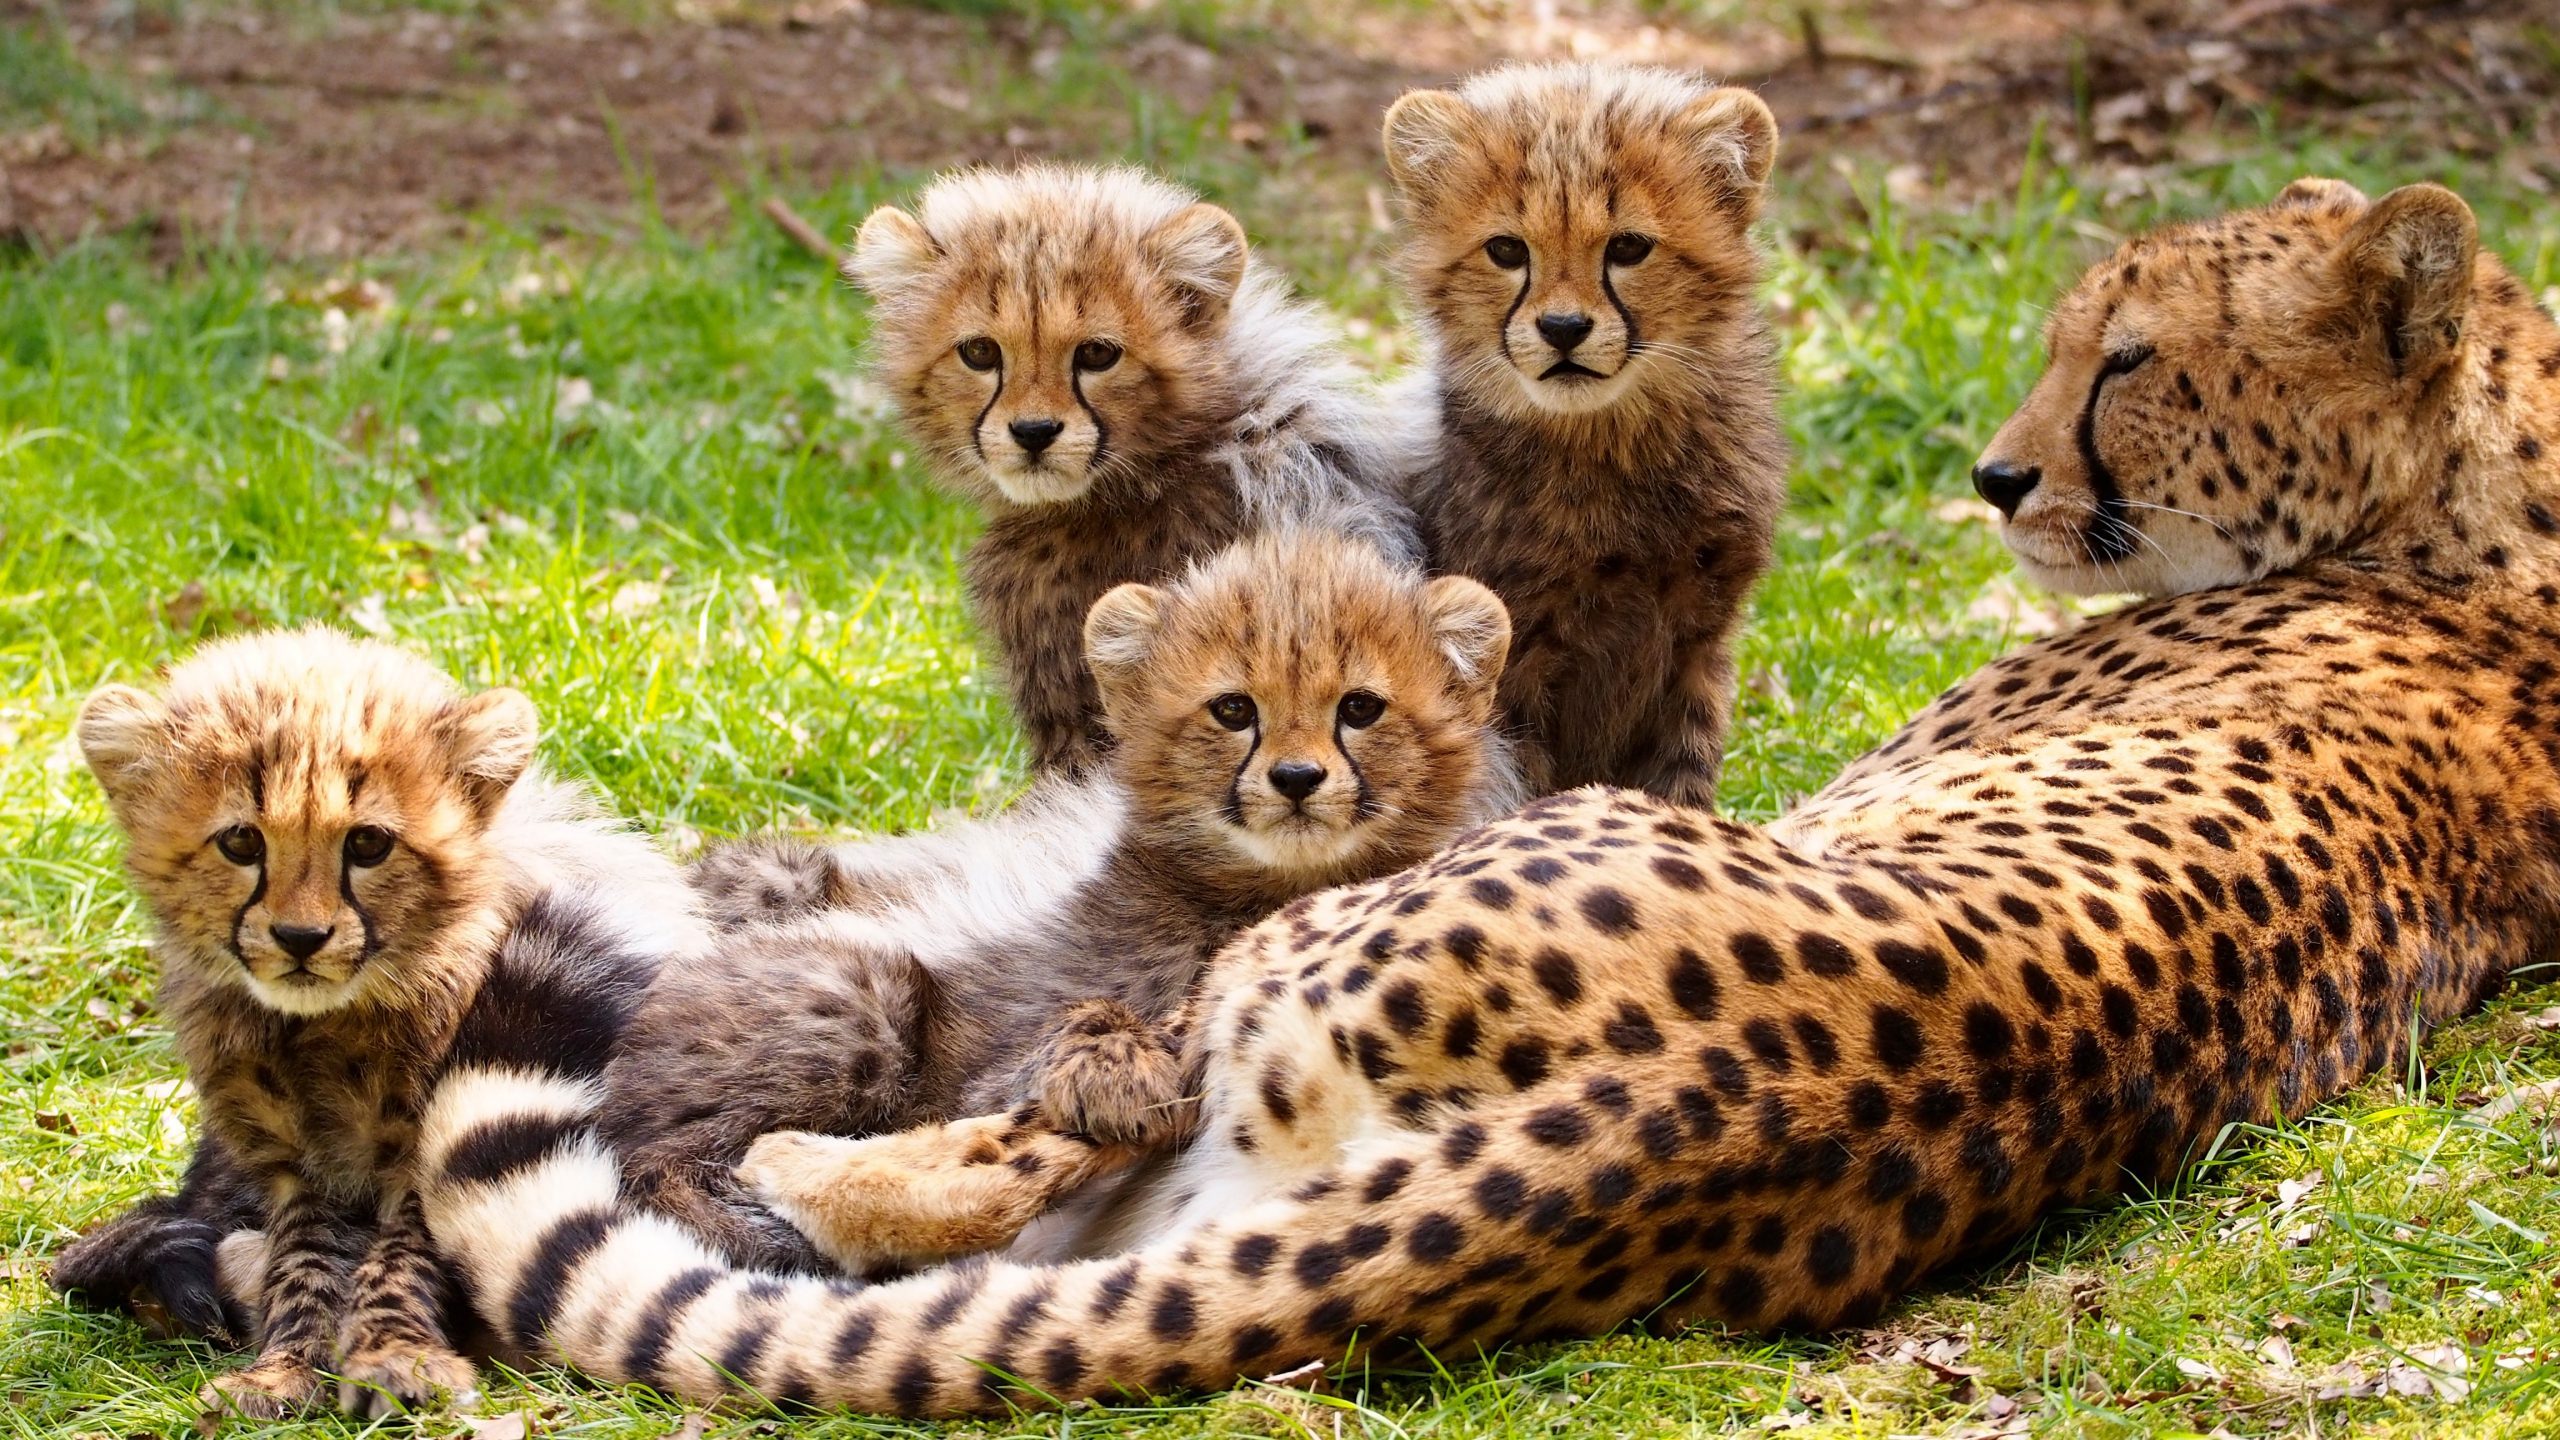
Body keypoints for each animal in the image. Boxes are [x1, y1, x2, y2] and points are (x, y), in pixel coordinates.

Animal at [430, 176, 2560, 1404]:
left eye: (2129, 361)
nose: (2000, 477)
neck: (2483, 528)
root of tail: (1703, 1109)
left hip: (1257, 980)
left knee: (1019, 1139)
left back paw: (788, 1157)